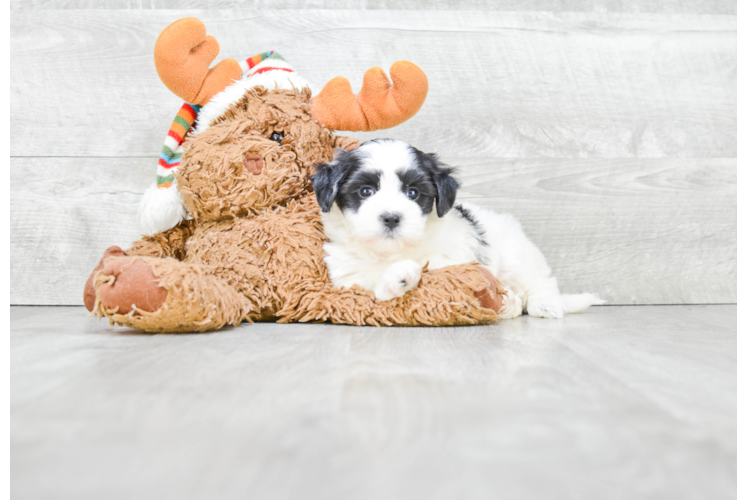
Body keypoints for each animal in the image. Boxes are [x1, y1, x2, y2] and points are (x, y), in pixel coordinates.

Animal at [312, 138, 604, 316]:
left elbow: (437, 265)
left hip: (517, 254)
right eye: (366, 191)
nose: (392, 217)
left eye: (413, 193)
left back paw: (543, 304)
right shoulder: (347, 275)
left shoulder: (459, 252)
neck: (392, 252)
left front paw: (406, 271)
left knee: (538, 281)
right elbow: (369, 283)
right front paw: (396, 280)